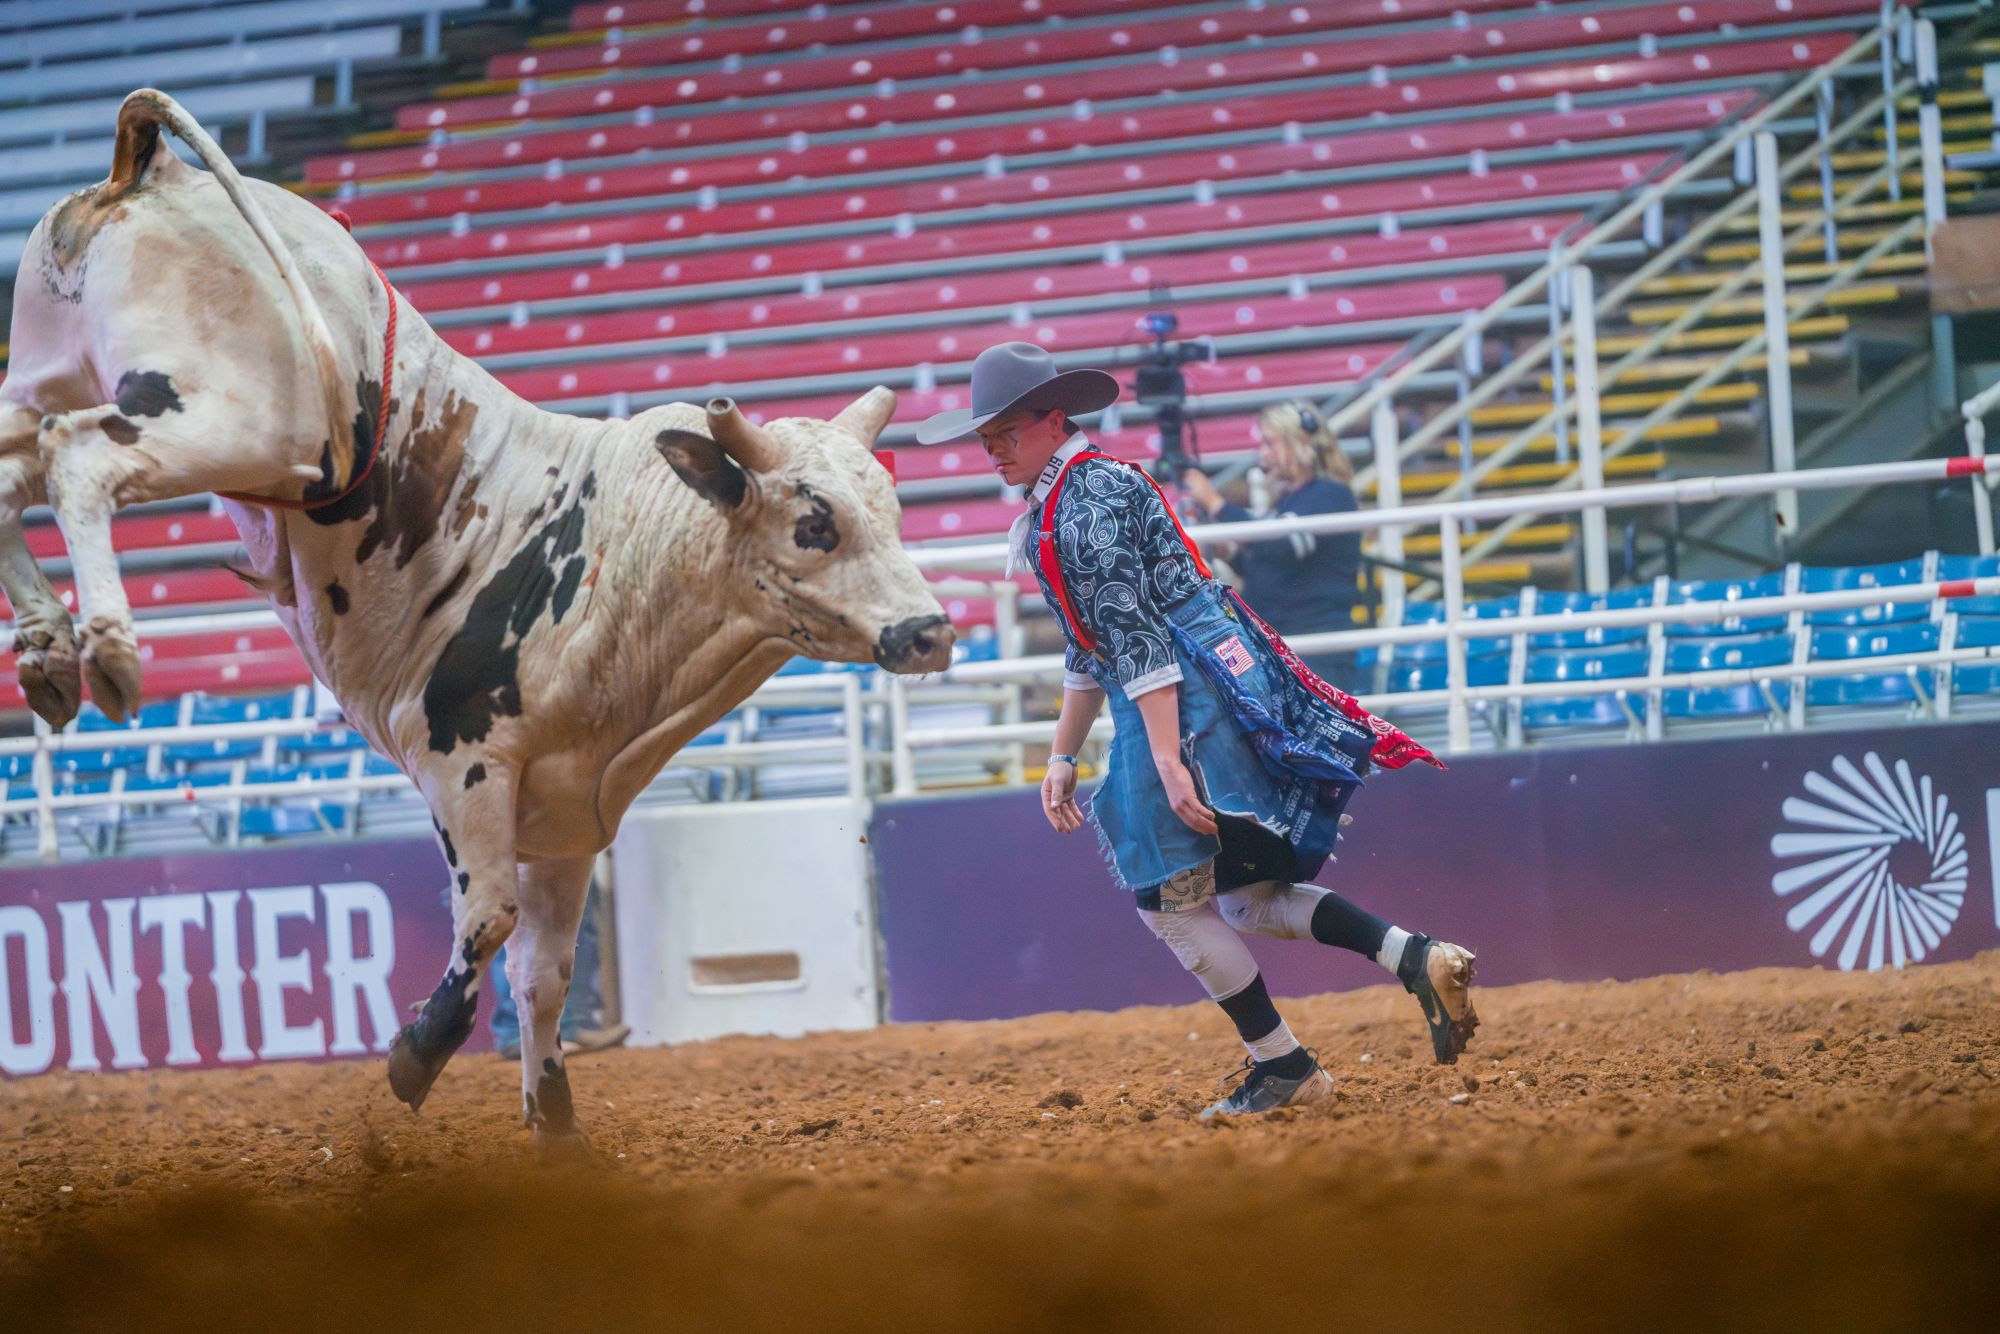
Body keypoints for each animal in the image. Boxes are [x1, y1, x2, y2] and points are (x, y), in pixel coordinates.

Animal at [0, 91, 954, 1154]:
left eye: (893, 509)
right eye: (813, 520)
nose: (929, 632)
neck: (625, 549)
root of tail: (151, 169)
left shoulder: (572, 813)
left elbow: (544, 973)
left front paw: (559, 1131)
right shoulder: (466, 767)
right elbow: (489, 924)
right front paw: (413, 1056)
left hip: (56, 375)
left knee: (17, 464)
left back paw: (47, 651)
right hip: (232, 422)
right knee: (80, 457)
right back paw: (108, 650)